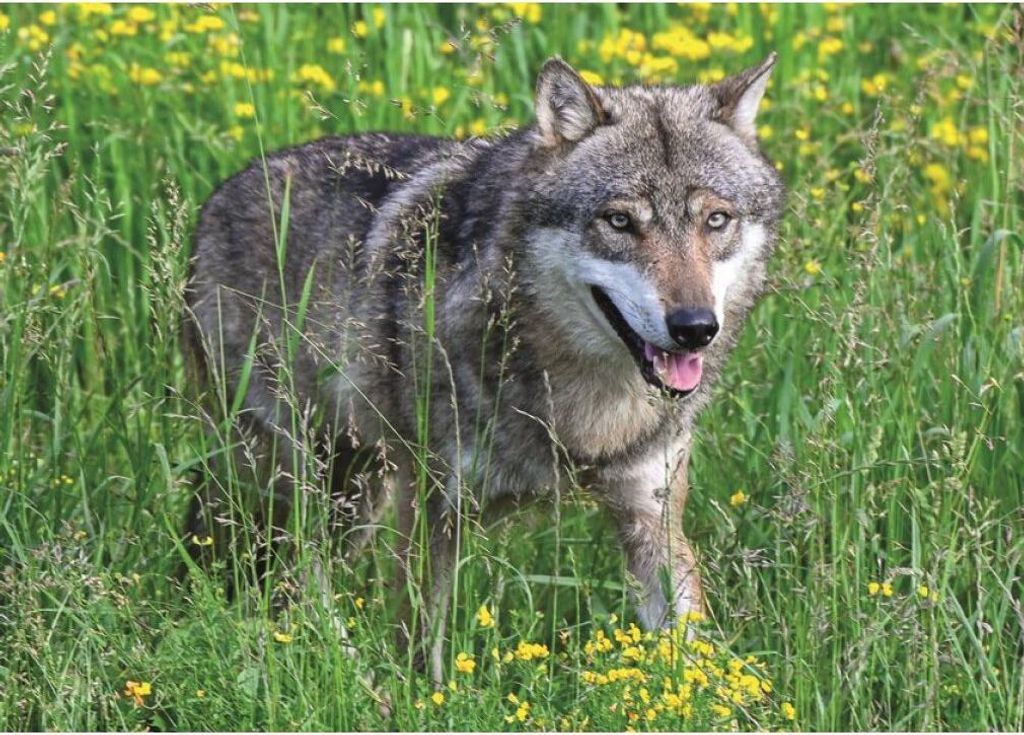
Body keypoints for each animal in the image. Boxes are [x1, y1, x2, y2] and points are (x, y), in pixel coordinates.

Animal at [183, 54, 785, 681]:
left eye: (716, 220)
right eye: (619, 222)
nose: (694, 327)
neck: (585, 406)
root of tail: (215, 202)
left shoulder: (652, 517)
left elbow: (691, 654)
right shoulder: (432, 508)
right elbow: (418, 642)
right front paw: (416, 696)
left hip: (356, 495)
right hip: (303, 481)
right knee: (294, 575)